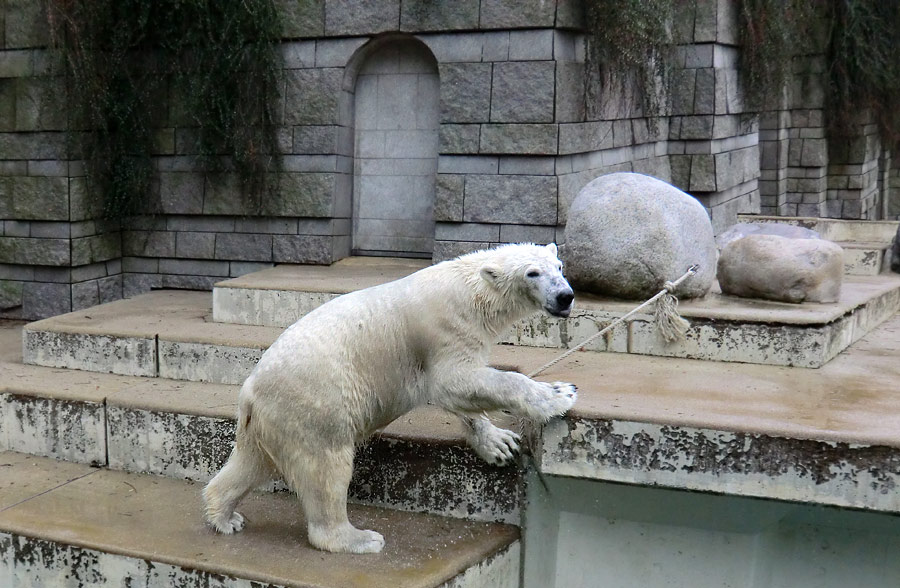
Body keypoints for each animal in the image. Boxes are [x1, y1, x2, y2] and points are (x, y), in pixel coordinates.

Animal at [202, 241, 576, 552]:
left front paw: (499, 444)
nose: (565, 296)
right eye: (532, 272)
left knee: (250, 463)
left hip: (269, 420)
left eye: (559, 266)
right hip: (315, 405)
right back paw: (358, 538)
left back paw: (225, 516)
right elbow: (453, 382)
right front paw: (559, 394)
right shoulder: (446, 329)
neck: (471, 292)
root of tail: (249, 390)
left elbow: (463, 391)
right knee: (325, 468)